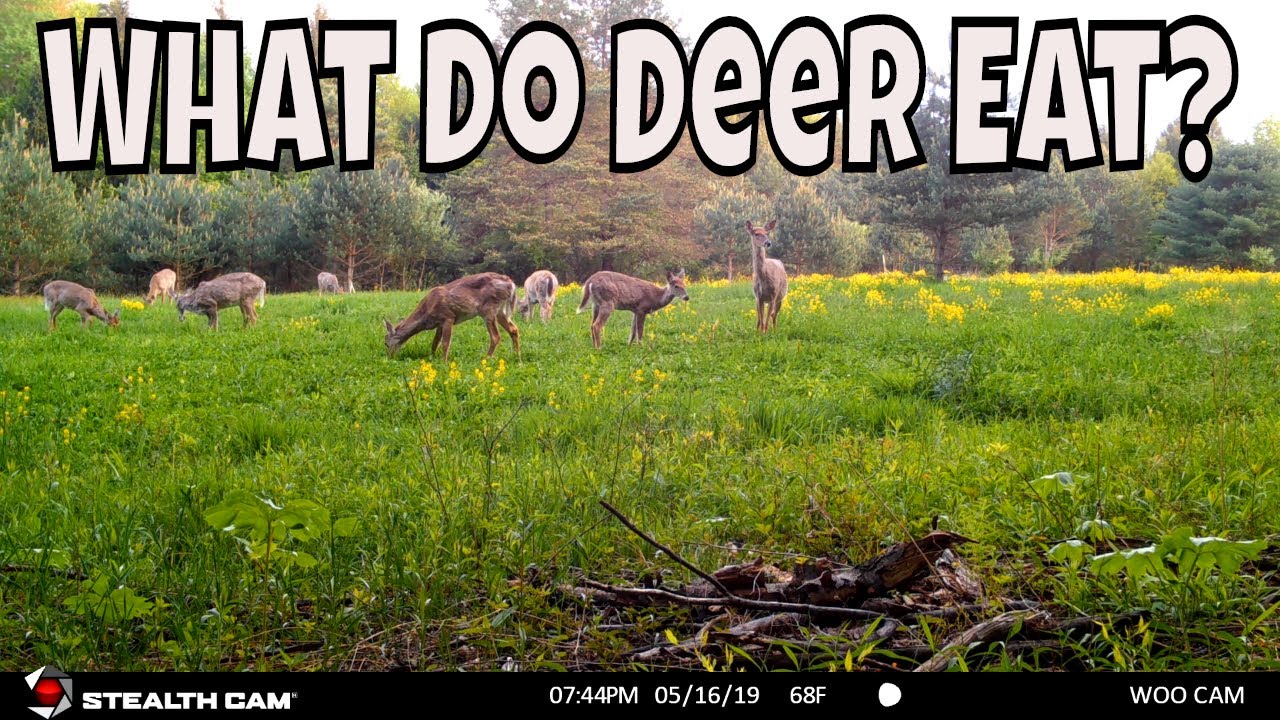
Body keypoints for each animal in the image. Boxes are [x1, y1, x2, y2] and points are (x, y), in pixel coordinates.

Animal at [383, 272, 520, 361]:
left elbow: (445, 343)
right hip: (501, 311)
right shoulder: (439, 323)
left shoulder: (448, 317)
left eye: (385, 343)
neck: (427, 312)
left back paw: (486, 359)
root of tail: (511, 284)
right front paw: (432, 357)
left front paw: (444, 362)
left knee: (496, 336)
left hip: (489, 309)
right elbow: (435, 342)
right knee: (514, 329)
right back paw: (517, 356)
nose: (389, 357)